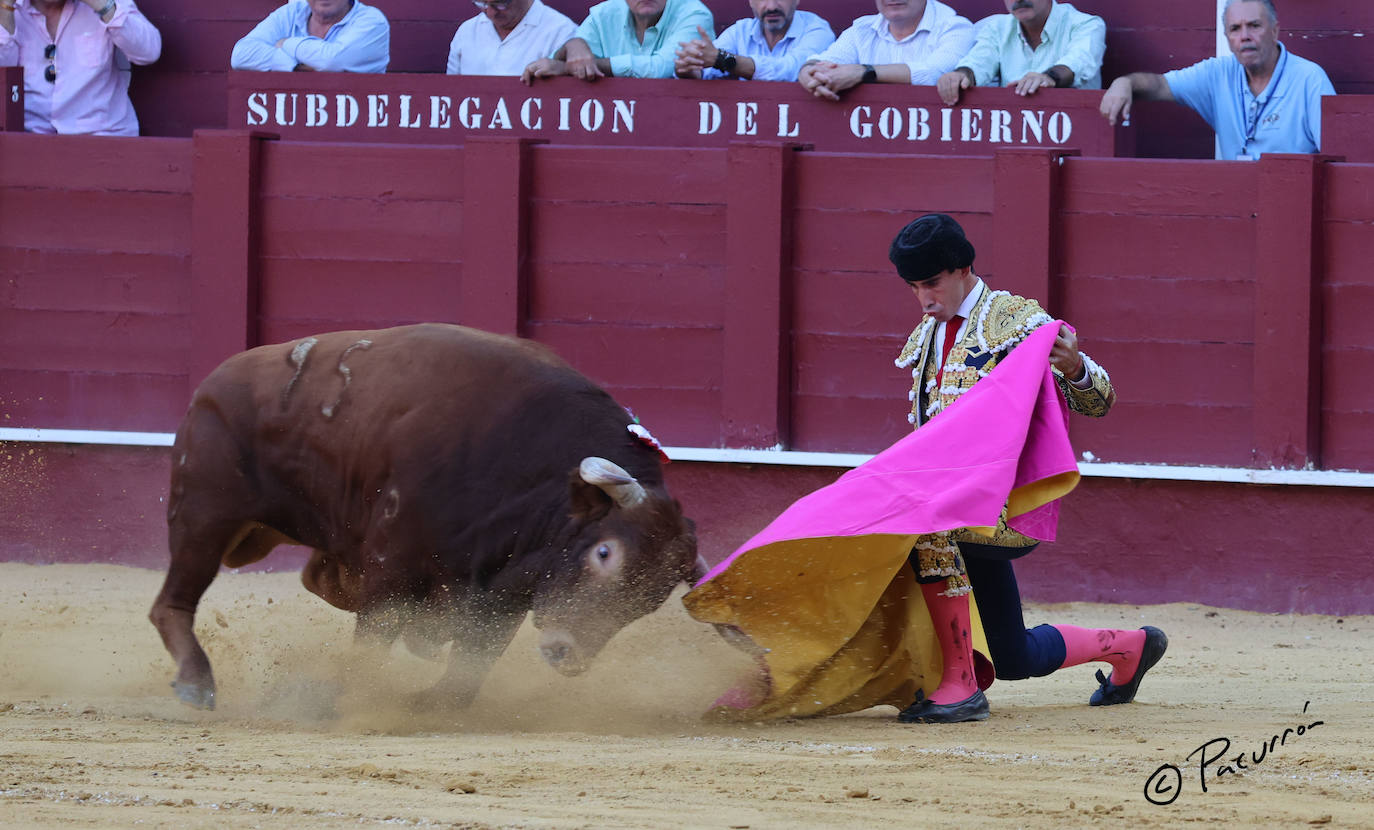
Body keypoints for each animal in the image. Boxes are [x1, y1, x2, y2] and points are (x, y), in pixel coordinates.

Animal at [151, 321, 708, 709]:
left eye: (653, 599)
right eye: (604, 552)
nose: (566, 653)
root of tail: (212, 382)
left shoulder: (506, 590)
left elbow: (471, 665)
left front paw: (427, 698)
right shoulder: (391, 566)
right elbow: (374, 639)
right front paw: (348, 697)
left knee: (316, 579)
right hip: (204, 513)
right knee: (173, 600)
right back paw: (197, 684)